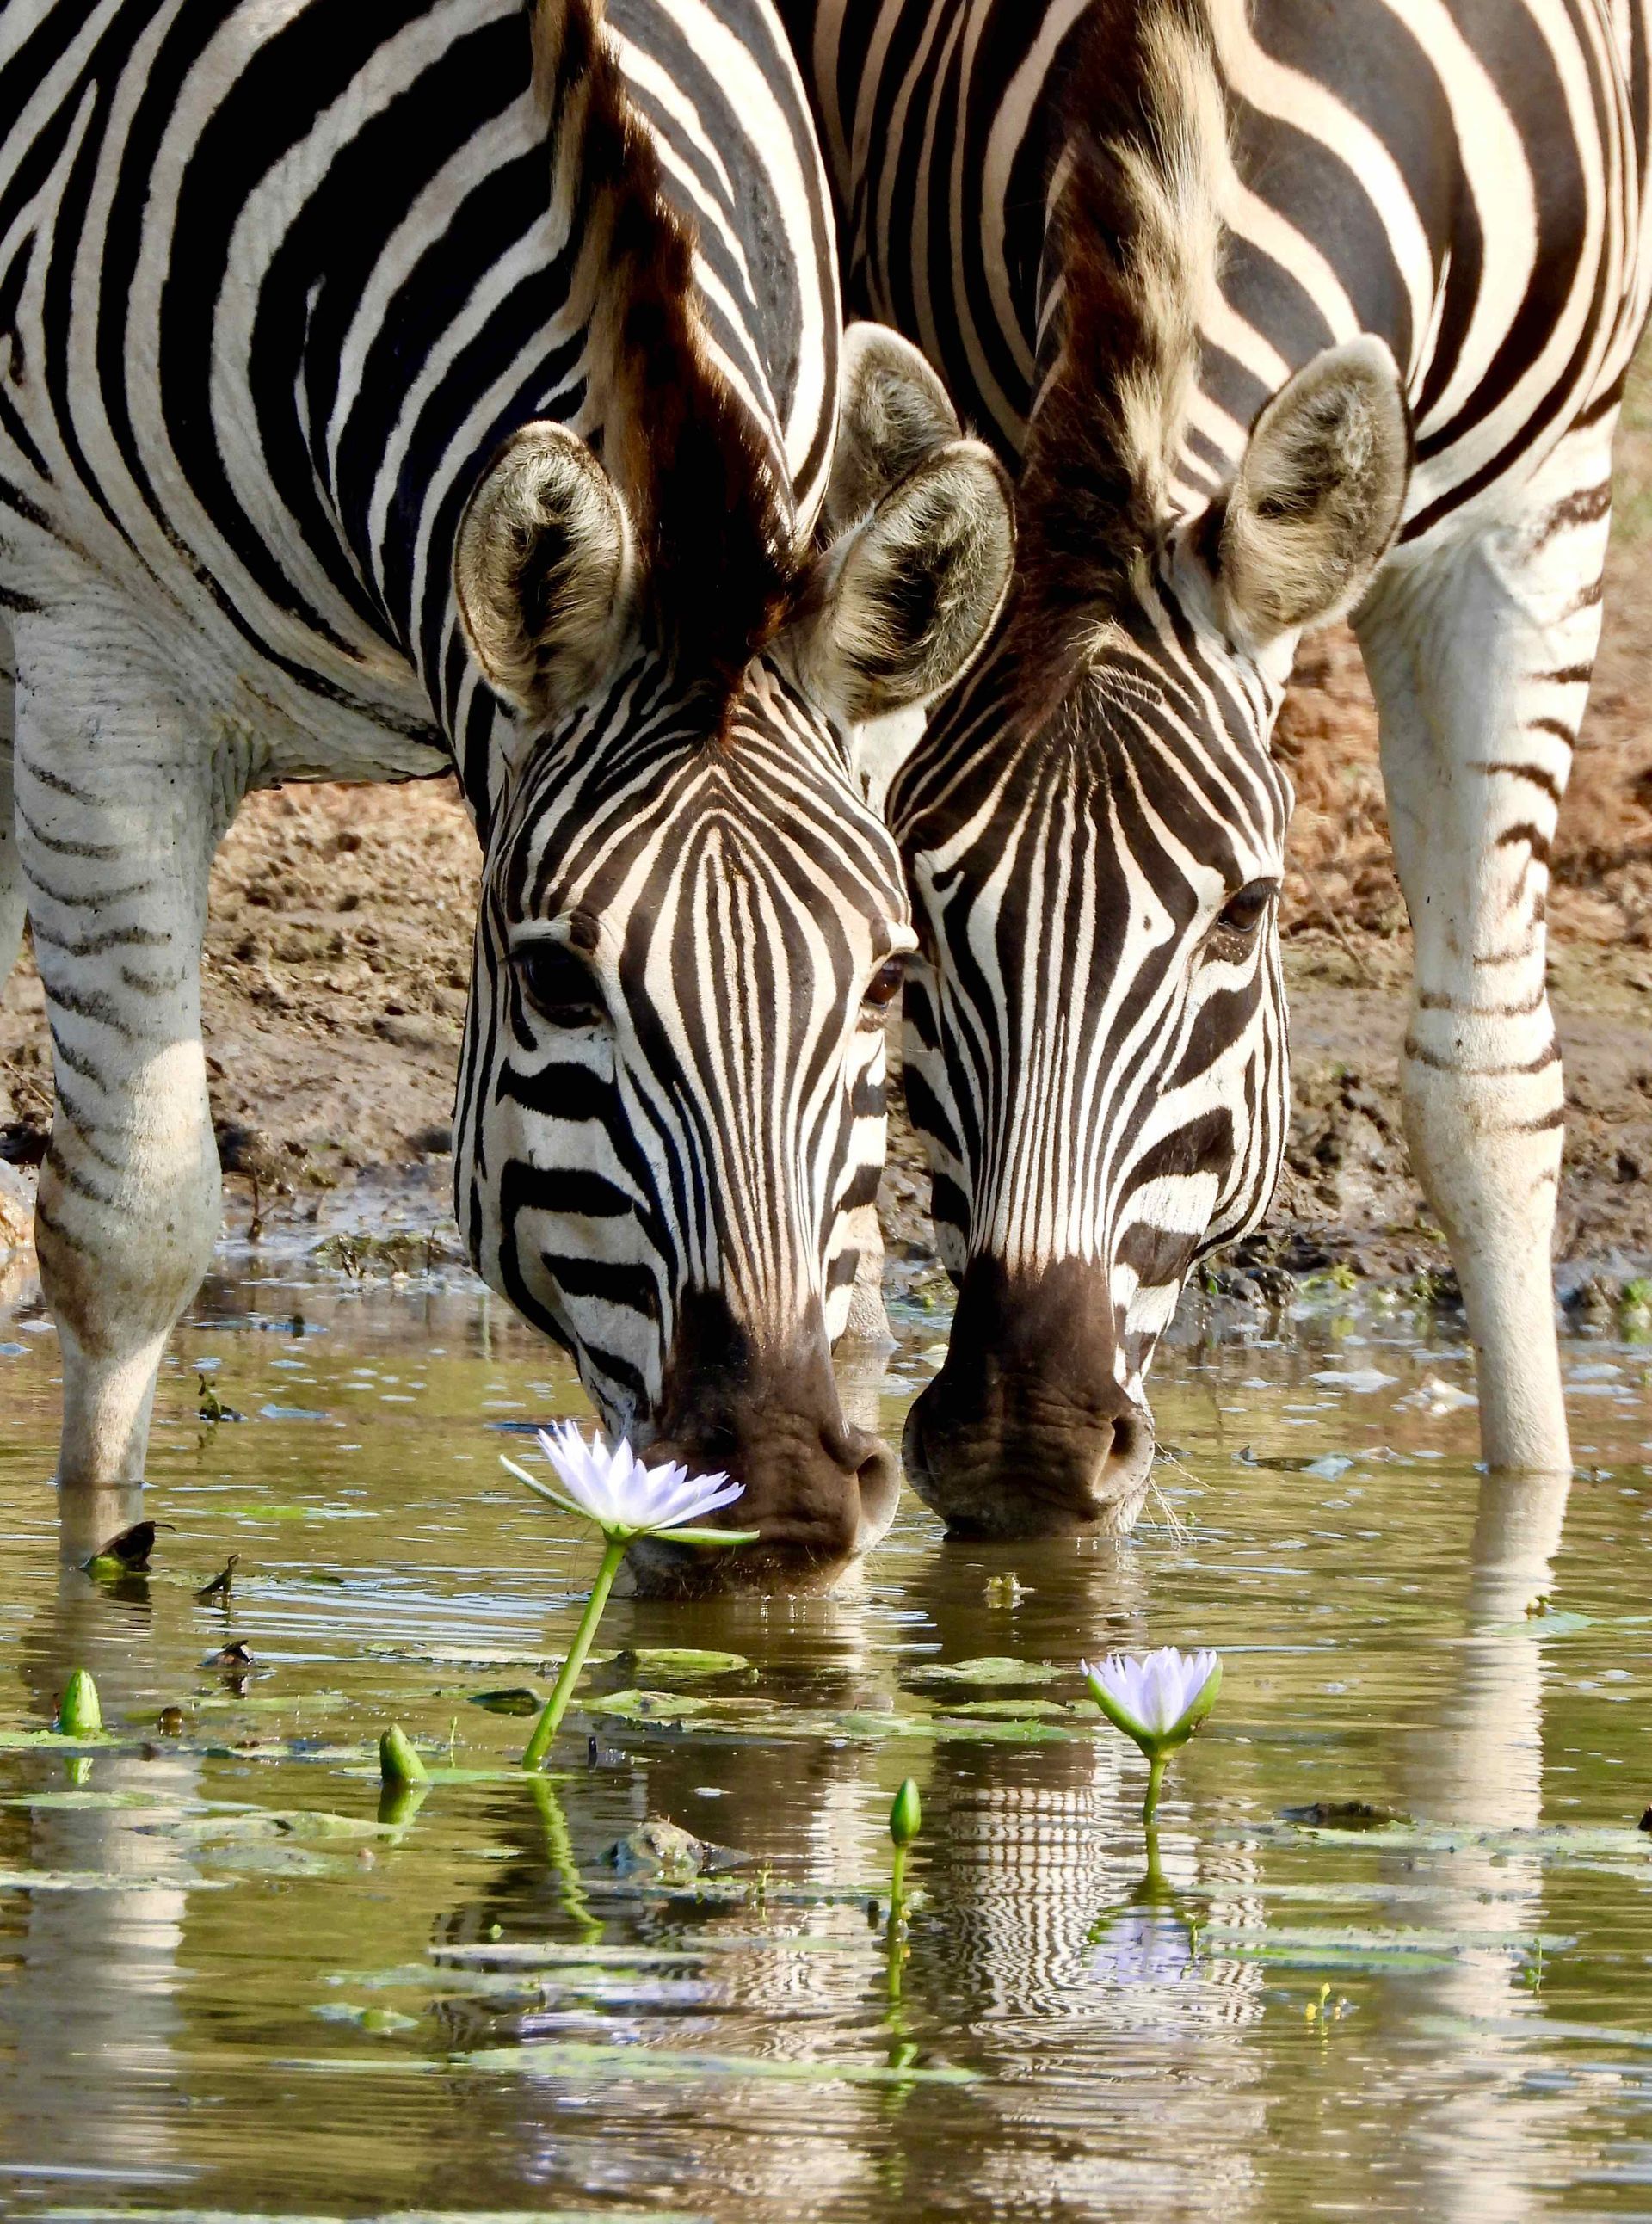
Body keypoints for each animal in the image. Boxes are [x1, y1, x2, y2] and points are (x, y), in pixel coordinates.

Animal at [0, 0, 1015, 1586]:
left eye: (891, 981)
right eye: (555, 983)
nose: (781, 1497)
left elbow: (852, 1293)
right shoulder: (98, 670)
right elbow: (131, 1236)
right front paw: (92, 1578)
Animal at [781, 0, 1652, 1533]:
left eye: (1244, 915)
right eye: (926, 925)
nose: (1026, 1444)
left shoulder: (1542, 509)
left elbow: (1486, 1085)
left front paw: (1532, 1514)